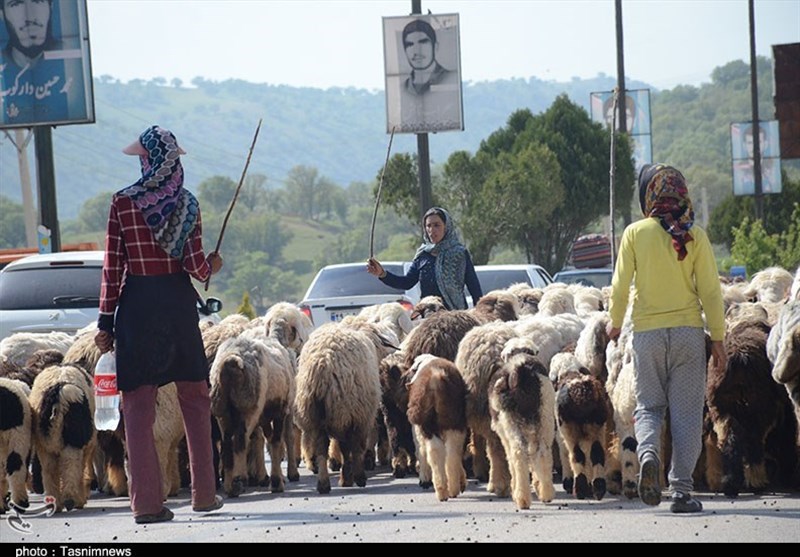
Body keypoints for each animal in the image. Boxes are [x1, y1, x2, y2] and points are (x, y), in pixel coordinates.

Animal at [28, 362, 96, 510]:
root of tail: (60, 388)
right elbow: (81, 468)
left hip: (44, 442)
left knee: (49, 468)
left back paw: (55, 503)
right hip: (74, 438)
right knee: (71, 463)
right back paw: (72, 499)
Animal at [406, 354, 468, 502]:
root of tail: (436, 379)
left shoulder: (417, 429)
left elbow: (420, 450)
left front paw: (424, 479)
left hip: (431, 425)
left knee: (438, 451)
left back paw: (444, 490)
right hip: (453, 421)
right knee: (451, 452)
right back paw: (450, 489)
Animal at [488, 334, 556, 508]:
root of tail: (520, 369)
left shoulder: (503, 433)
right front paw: (538, 484)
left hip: (510, 422)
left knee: (518, 453)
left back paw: (522, 498)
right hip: (545, 417)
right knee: (543, 452)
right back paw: (546, 492)